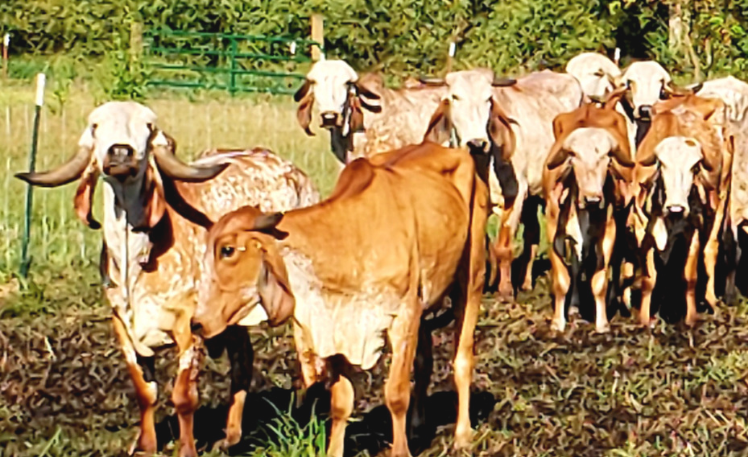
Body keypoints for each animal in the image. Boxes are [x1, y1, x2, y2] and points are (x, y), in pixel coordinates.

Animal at [14, 101, 320, 457]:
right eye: (96, 125)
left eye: (147, 127)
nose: (121, 152)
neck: (135, 261)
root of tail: (295, 173)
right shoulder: (122, 326)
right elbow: (145, 392)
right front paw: (146, 445)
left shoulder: (189, 327)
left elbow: (183, 397)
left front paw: (186, 448)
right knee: (243, 359)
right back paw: (231, 436)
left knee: (310, 358)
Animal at [193, 141, 489, 457]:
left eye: (227, 250)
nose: (197, 323)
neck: (348, 238)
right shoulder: (338, 326)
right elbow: (341, 402)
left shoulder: (404, 314)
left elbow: (396, 395)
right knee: (424, 362)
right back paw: (418, 427)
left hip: (472, 277)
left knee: (462, 359)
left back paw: (462, 436)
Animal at [423, 68, 583, 300]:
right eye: (455, 97)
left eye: (489, 99)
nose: (476, 143)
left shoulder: (515, 196)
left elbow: (503, 247)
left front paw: (505, 290)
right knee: (533, 233)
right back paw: (526, 281)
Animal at [542, 99, 634, 332]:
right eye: (575, 157)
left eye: (606, 158)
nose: (592, 198)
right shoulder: (554, 230)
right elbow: (562, 279)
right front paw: (557, 322)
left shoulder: (608, 233)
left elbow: (599, 281)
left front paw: (602, 323)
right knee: (576, 269)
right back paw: (574, 307)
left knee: (615, 262)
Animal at [631, 95, 724, 326]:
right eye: (662, 164)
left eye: (694, 167)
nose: (676, 208)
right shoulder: (641, 227)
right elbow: (649, 278)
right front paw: (644, 320)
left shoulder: (694, 228)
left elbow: (689, 277)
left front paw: (690, 319)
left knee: (711, 249)